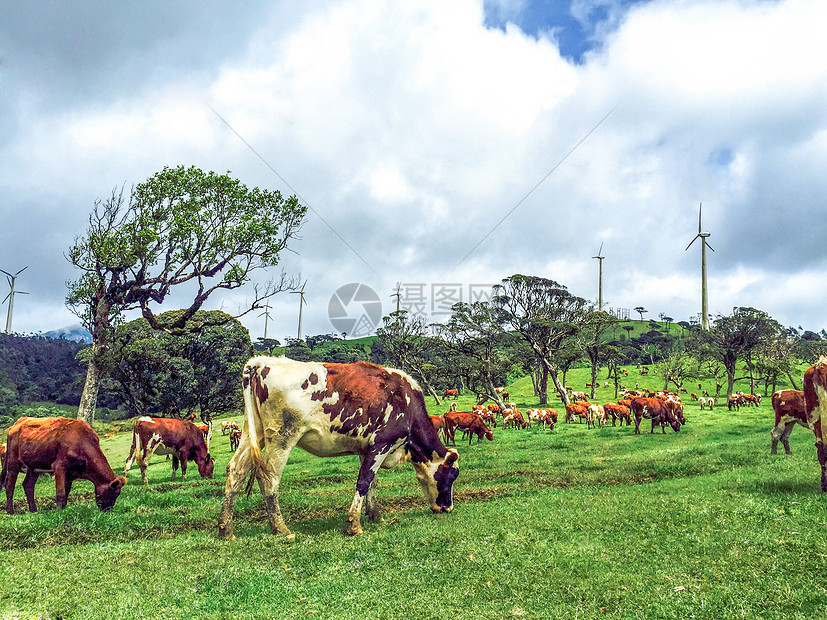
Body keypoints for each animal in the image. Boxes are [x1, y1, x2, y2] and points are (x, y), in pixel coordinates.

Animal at [217, 356, 462, 540]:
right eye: (451, 476)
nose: (448, 508)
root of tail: (261, 362)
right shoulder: (382, 444)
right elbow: (363, 481)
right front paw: (354, 524)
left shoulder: (367, 449)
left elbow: (372, 482)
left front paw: (375, 515)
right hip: (282, 437)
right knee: (269, 477)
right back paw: (280, 527)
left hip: (253, 432)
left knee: (236, 471)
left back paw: (226, 529)